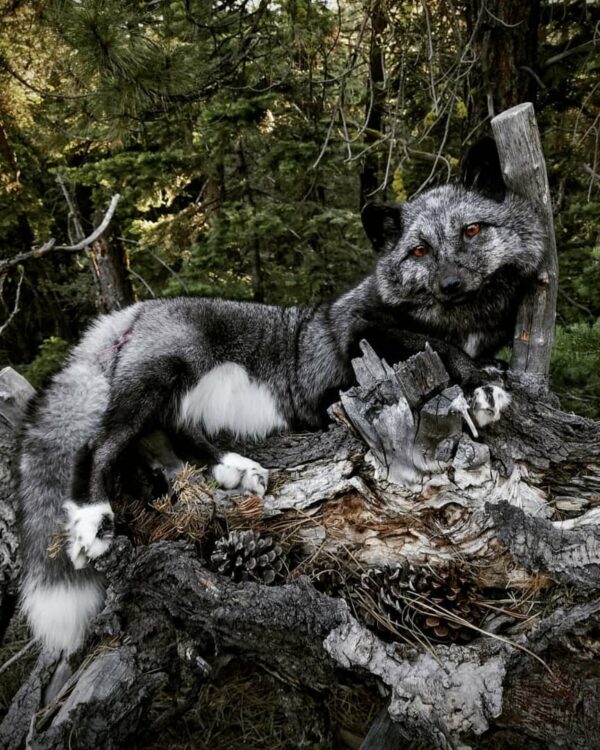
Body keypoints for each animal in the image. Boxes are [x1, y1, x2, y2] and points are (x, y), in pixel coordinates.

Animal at [17, 137, 544, 655]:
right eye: (418, 251)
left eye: (472, 230)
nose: (451, 284)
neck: (459, 319)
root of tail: (134, 309)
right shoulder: (361, 333)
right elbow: (443, 349)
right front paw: (478, 387)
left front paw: (491, 372)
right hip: (163, 377)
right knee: (99, 444)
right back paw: (92, 519)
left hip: (176, 397)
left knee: (170, 437)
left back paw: (232, 468)